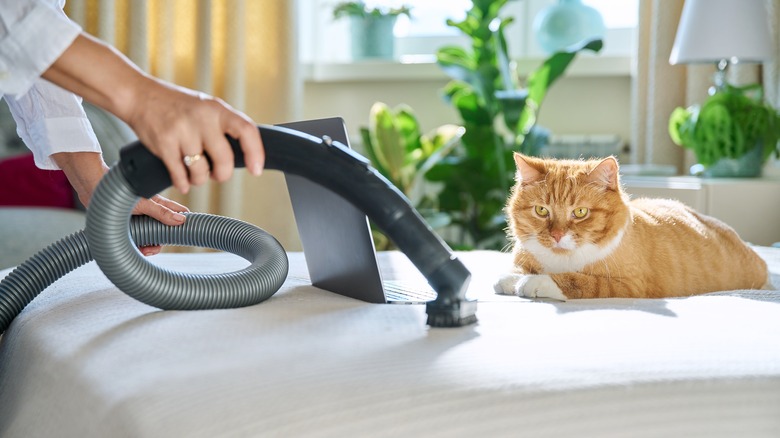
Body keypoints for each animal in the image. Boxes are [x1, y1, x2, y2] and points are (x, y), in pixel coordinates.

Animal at [496, 152, 772, 300]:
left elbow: (579, 281)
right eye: (542, 210)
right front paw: (513, 277)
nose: (556, 235)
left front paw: (535, 282)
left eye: (580, 212)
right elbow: (514, 271)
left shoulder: (628, 284)